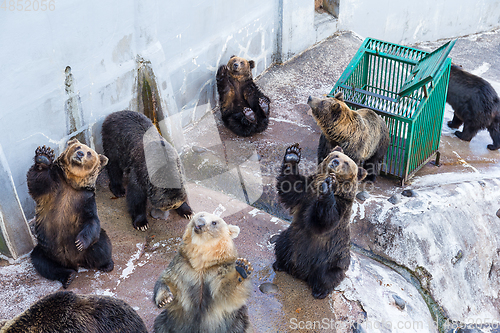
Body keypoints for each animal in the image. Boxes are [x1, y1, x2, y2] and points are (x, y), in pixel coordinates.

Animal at [27, 139, 114, 286]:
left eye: (89, 152)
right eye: (78, 147)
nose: (80, 154)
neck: (71, 183)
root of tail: (75, 262)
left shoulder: (85, 200)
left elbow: (92, 220)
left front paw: (79, 242)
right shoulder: (52, 189)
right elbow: (37, 181)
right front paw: (44, 156)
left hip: (89, 248)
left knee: (102, 247)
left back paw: (107, 265)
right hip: (47, 250)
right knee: (43, 262)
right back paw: (68, 276)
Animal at [274, 143, 368, 298]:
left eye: (347, 163)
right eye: (335, 155)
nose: (335, 162)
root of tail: (300, 273)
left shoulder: (341, 207)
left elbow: (325, 221)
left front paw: (328, 184)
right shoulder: (306, 191)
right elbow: (290, 186)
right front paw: (292, 155)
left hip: (331, 259)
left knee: (328, 276)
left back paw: (320, 291)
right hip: (290, 240)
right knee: (281, 245)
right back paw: (280, 264)